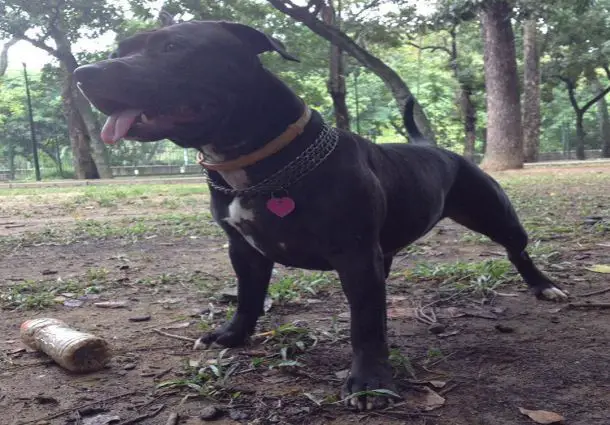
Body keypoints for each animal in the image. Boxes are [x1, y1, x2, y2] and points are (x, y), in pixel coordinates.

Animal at [75, 19, 564, 410]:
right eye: (122, 48)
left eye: (173, 48)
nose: (84, 73)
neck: (259, 165)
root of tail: (431, 146)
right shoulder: (244, 250)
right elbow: (248, 298)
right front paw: (232, 335)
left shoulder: (355, 256)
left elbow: (365, 325)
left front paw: (370, 382)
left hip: (496, 214)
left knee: (517, 250)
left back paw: (544, 286)